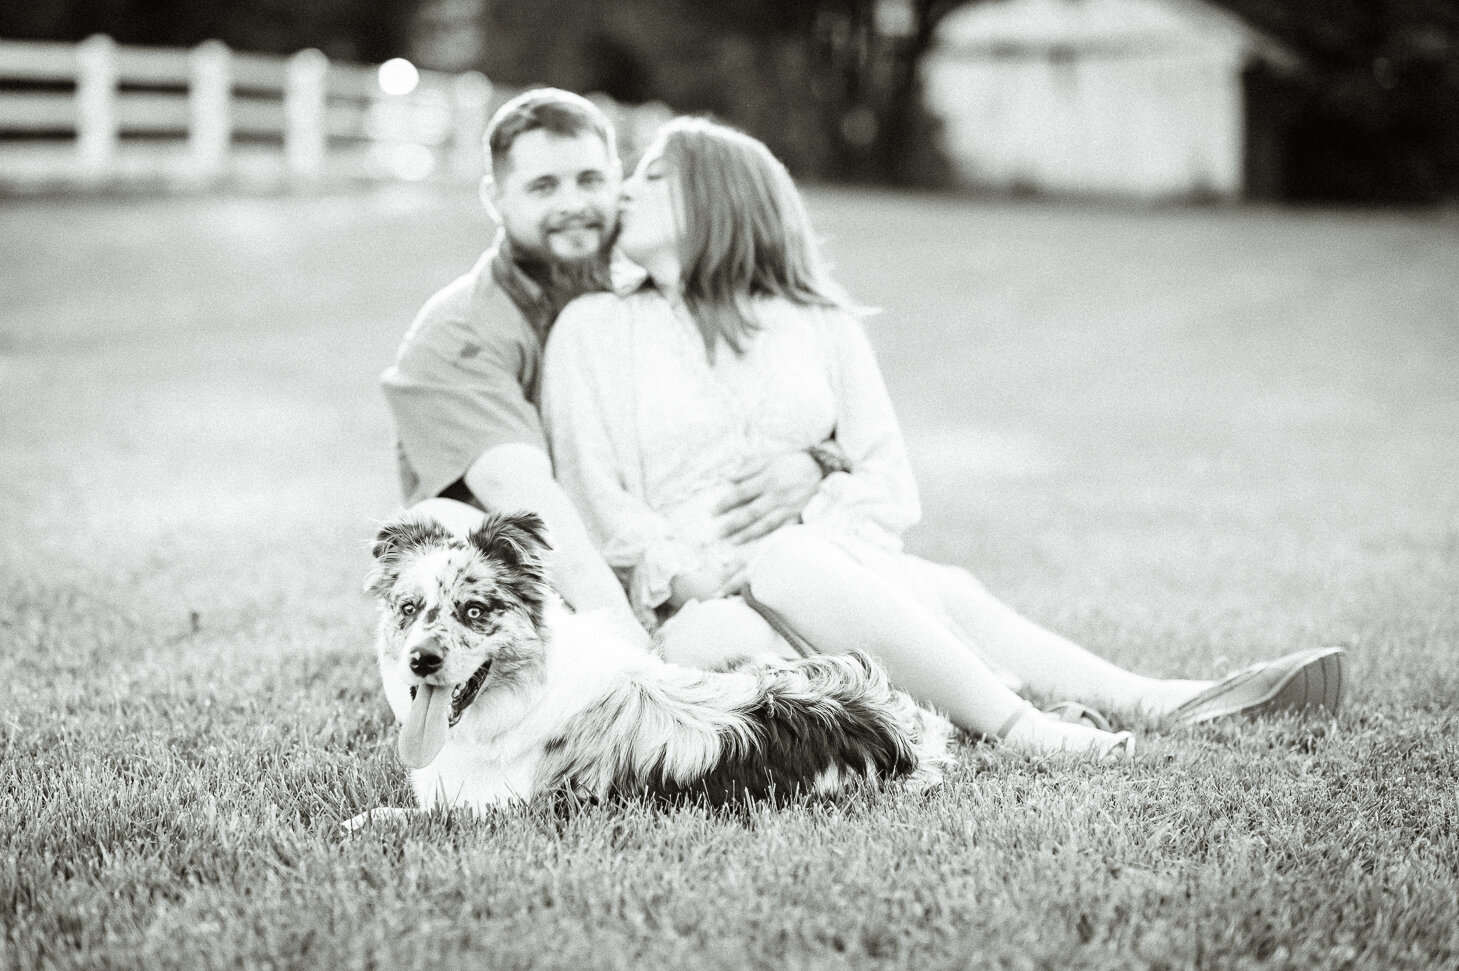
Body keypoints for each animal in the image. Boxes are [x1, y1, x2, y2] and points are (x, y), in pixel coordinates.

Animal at [344, 507, 957, 822]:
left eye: (474, 611)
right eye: (408, 609)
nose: (421, 661)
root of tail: (893, 716)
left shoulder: (516, 809)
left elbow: (406, 816)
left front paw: (361, 822)